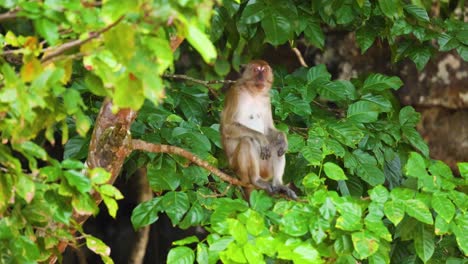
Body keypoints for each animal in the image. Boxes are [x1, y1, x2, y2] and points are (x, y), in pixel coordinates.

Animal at [221, 60, 298, 200]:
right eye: (256, 70)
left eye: (264, 70)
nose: (261, 77)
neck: (253, 94)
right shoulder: (235, 93)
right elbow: (228, 127)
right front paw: (261, 138)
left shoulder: (266, 99)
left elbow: (268, 129)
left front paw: (282, 137)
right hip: (236, 167)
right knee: (247, 140)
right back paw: (255, 180)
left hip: (266, 170)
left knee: (276, 145)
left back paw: (278, 184)